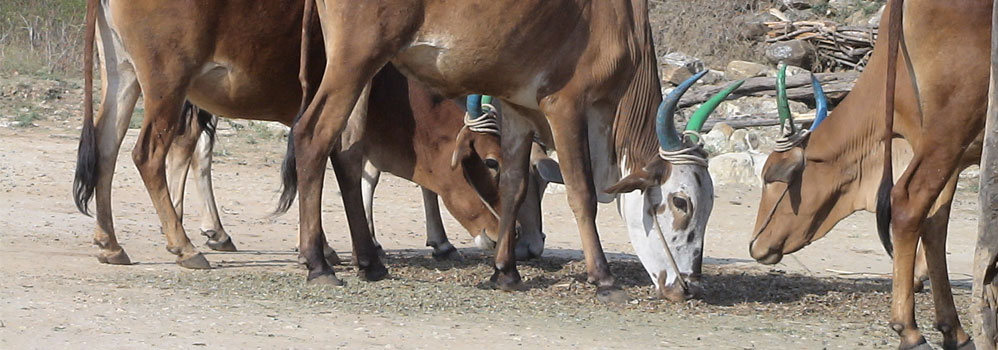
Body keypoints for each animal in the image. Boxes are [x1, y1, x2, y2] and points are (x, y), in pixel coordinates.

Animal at [70, 0, 556, 272]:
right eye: (491, 162)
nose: (519, 240)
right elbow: (343, 163)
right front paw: (349, 250)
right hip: (168, 84)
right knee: (150, 154)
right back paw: (185, 244)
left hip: (124, 76)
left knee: (108, 150)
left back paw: (111, 243)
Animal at [282, 0, 744, 300]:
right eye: (682, 201)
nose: (690, 285)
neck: (617, 18)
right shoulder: (565, 107)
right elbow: (582, 193)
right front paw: (603, 279)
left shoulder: (518, 109)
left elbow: (514, 185)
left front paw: (505, 272)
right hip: (354, 62)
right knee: (311, 137)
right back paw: (319, 264)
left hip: (362, 74)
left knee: (346, 152)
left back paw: (370, 263)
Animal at [752, 0, 988, 348]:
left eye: (774, 175)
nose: (755, 244)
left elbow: (936, 223)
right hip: (953, 124)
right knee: (908, 201)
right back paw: (911, 331)